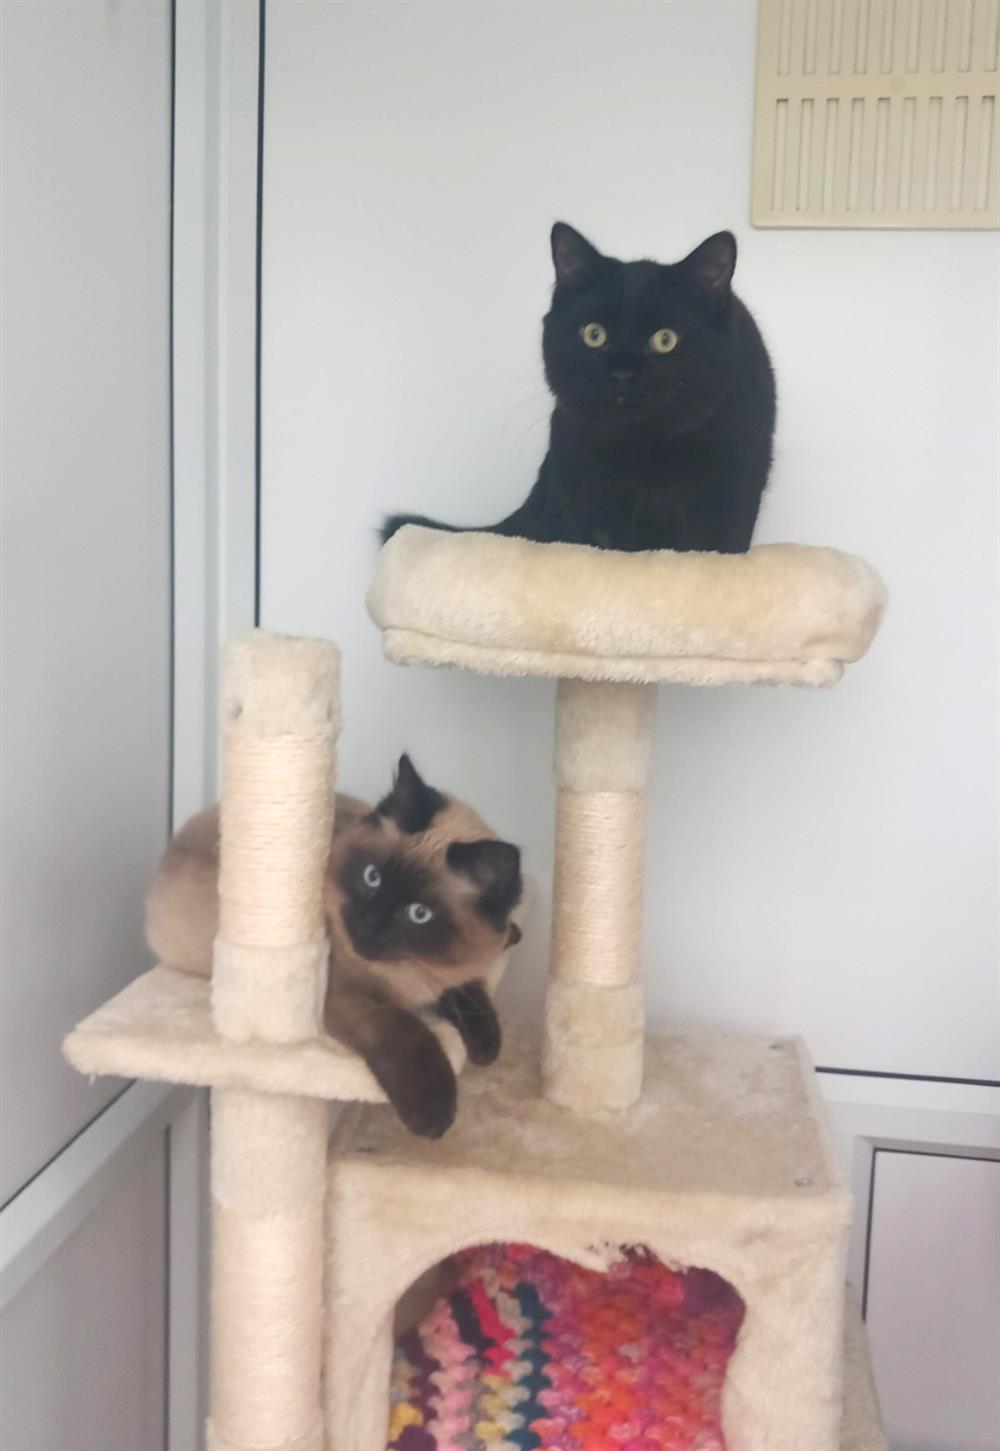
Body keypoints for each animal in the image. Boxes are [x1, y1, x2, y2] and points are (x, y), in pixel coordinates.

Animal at [145, 754, 522, 1138]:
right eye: (372, 877)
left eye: (419, 914)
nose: (366, 923)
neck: (408, 978)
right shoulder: (344, 996)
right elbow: (406, 1030)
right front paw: (434, 1113)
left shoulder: (448, 974)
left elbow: (472, 994)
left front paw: (487, 1046)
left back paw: (514, 932)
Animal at [382, 223, 776, 555]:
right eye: (594, 334)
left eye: (665, 339)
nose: (622, 373)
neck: (646, 448)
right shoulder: (584, 484)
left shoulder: (733, 485)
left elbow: (715, 546)